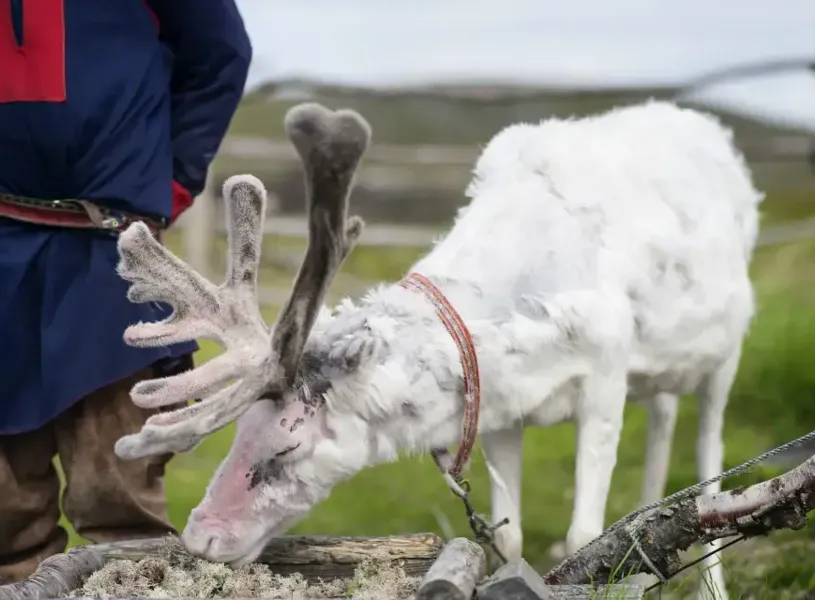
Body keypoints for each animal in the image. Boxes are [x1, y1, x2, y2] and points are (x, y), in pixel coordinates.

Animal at [112, 100, 762, 600]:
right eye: (239, 427)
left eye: (288, 443)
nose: (201, 535)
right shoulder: (503, 411)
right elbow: (509, 538)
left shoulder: (606, 374)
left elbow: (584, 536)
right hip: (659, 375)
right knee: (663, 421)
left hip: (725, 356)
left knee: (710, 468)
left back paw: (712, 582)